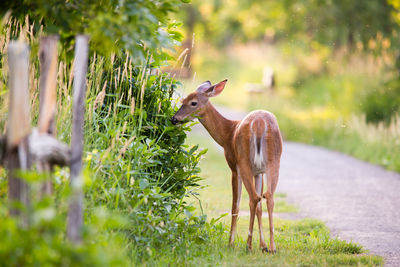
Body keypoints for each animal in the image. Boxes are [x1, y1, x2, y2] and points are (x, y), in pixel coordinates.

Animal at [170, 79, 282, 253]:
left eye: (193, 102)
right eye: (182, 100)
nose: (174, 119)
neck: (227, 134)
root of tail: (259, 124)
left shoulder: (234, 167)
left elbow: (235, 206)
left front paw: (231, 242)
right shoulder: (259, 172)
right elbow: (259, 208)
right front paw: (263, 245)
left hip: (244, 161)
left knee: (254, 198)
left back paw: (248, 245)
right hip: (274, 161)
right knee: (267, 196)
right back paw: (272, 247)